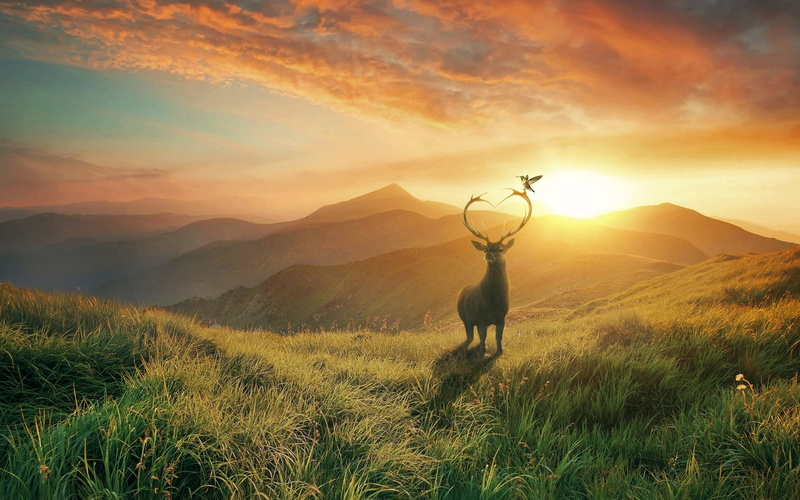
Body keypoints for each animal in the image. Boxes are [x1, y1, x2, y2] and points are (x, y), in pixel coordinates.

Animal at [456, 188, 532, 356]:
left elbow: (499, 336)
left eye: (501, 249)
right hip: (465, 317)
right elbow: (483, 337)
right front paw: (482, 353)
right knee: (469, 336)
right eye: (485, 249)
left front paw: (500, 351)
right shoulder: (480, 318)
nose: (488, 255)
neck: (493, 302)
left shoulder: (502, 317)